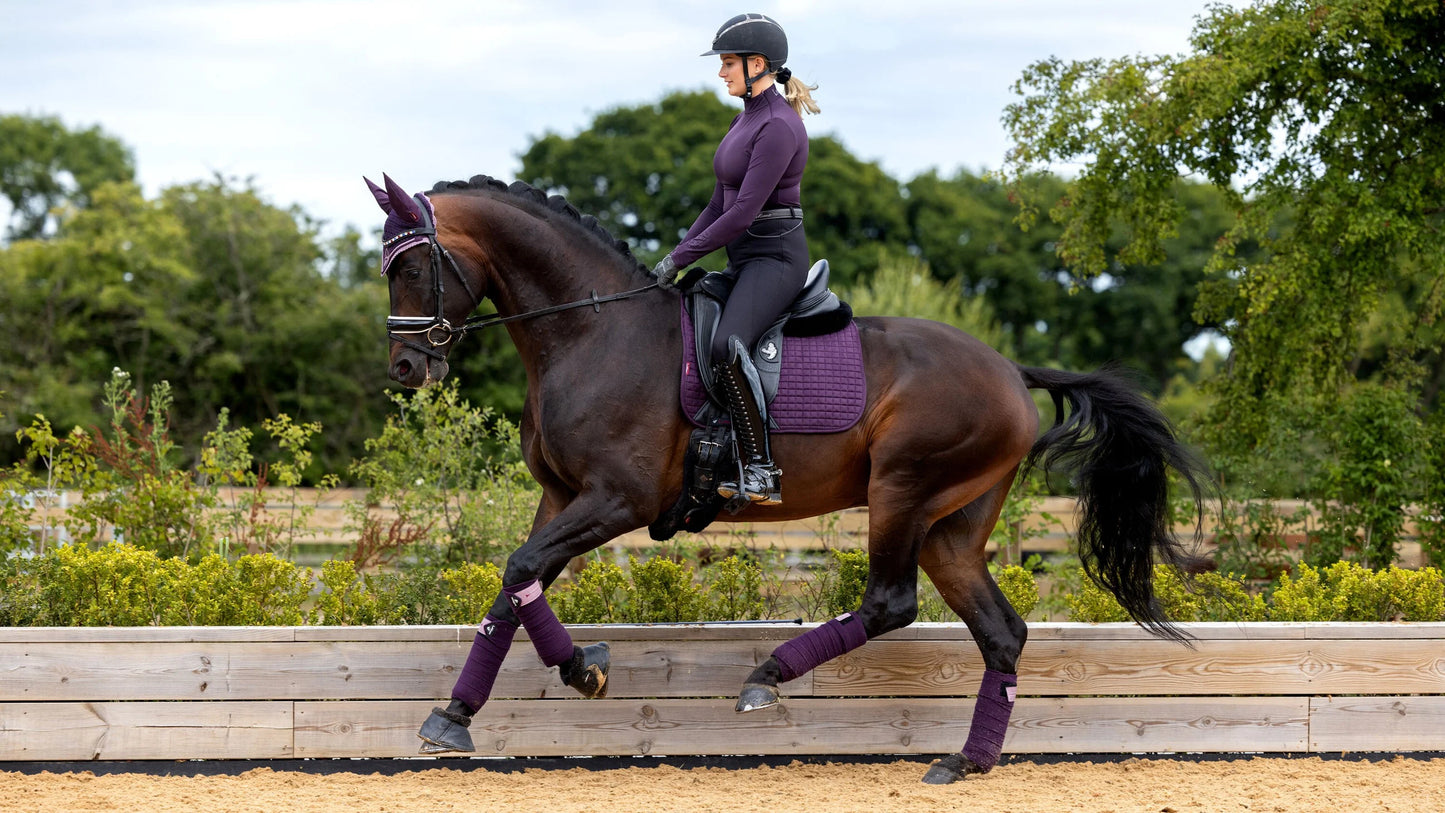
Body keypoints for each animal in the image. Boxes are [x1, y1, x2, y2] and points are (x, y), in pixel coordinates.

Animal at [364, 174, 1208, 785]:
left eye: (413, 265)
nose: (404, 368)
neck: (589, 328)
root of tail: (1009, 368)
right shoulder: (561, 496)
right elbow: (513, 584)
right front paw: (461, 712)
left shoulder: (617, 499)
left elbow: (520, 569)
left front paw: (577, 670)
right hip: (951, 526)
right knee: (999, 629)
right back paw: (965, 761)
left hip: (901, 490)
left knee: (890, 601)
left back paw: (766, 675)